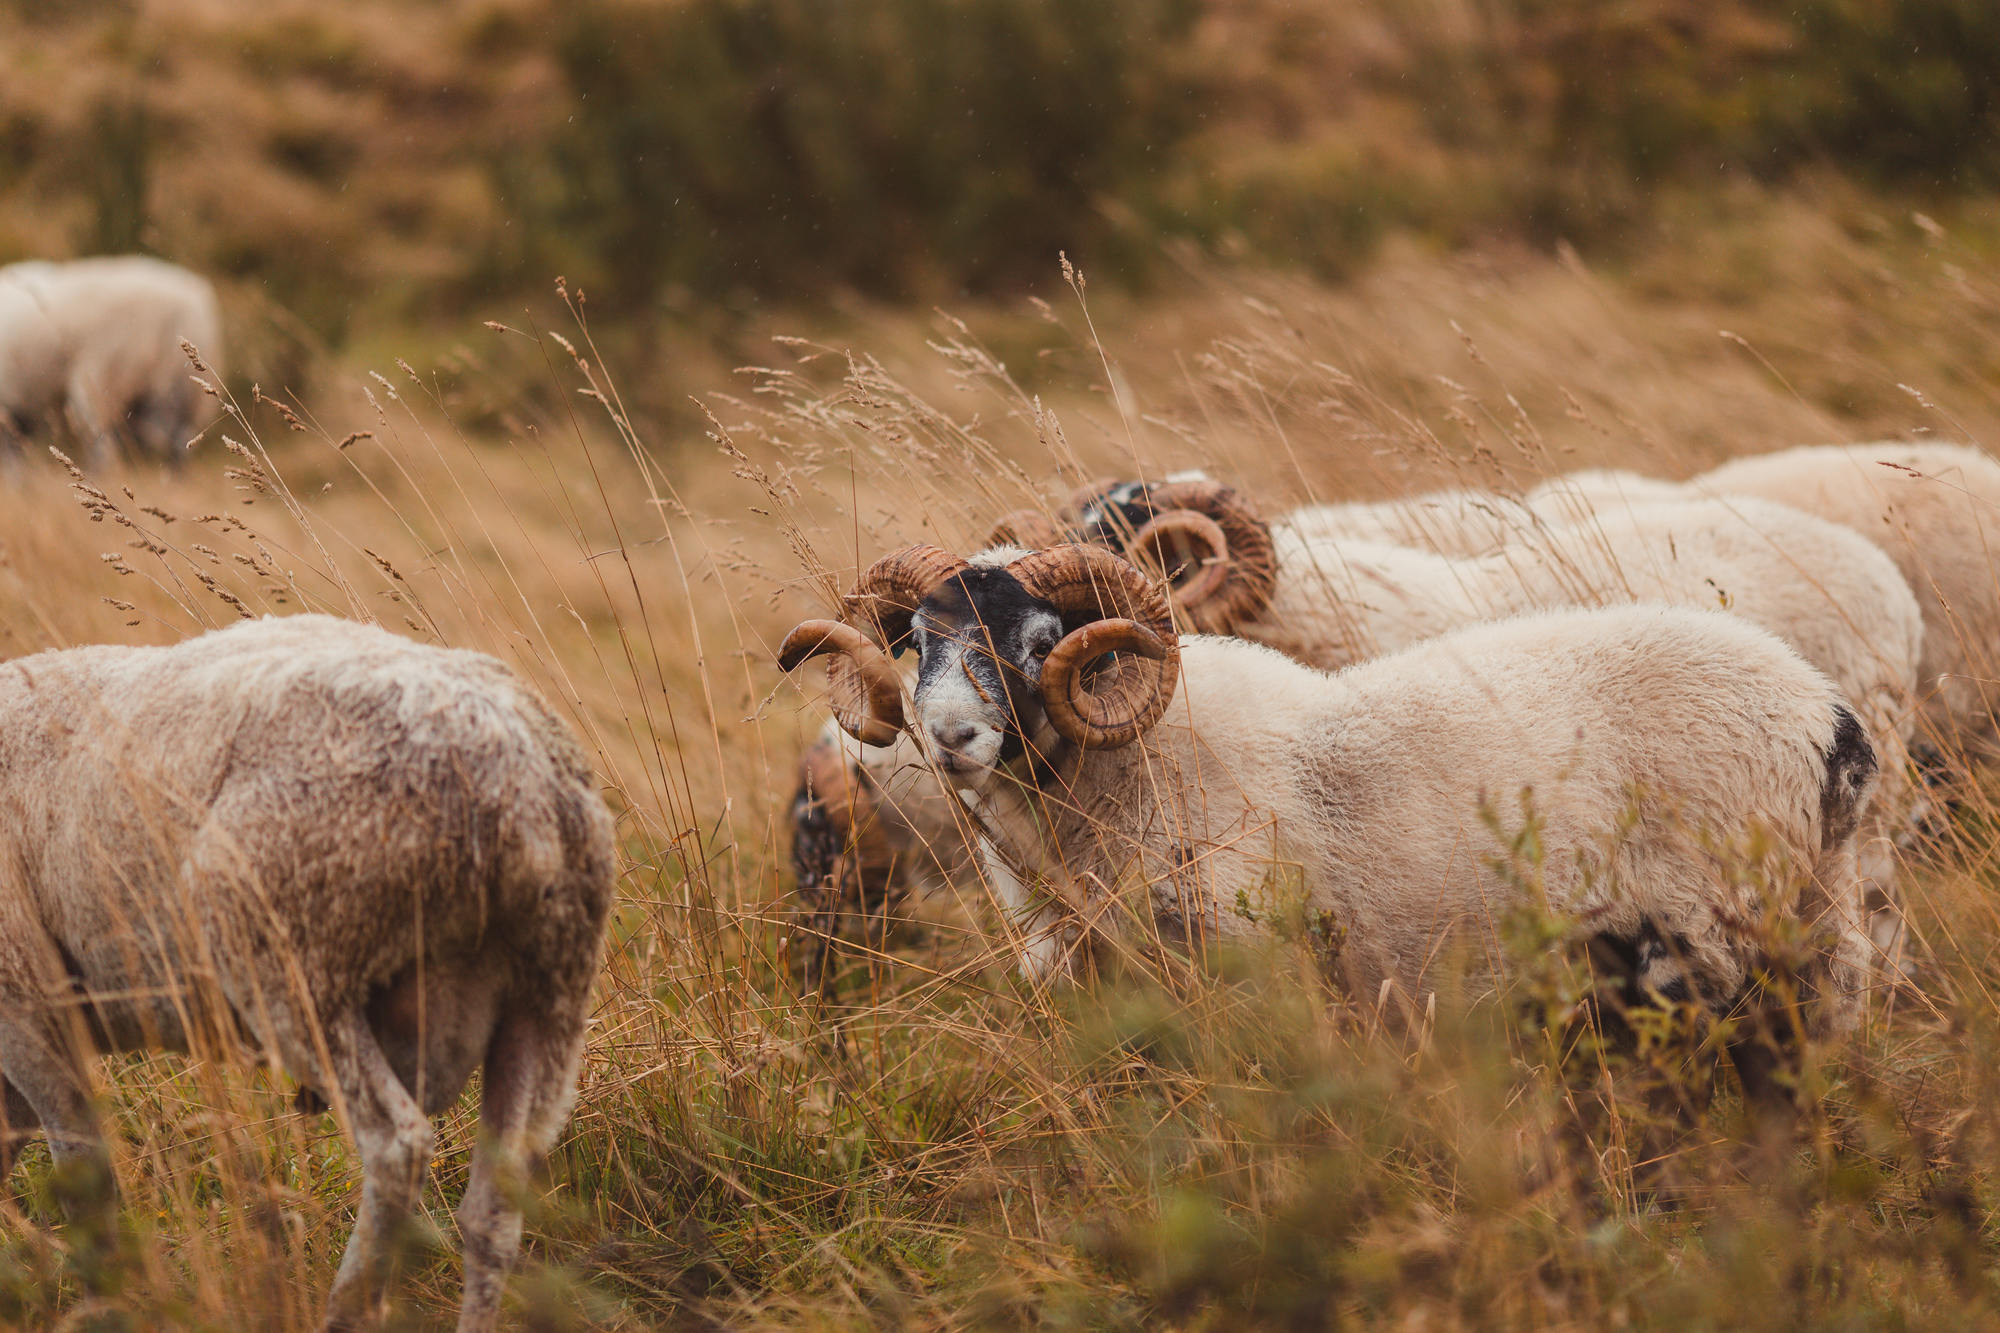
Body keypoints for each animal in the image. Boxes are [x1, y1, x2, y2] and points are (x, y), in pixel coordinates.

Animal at [0, 612, 616, 1328]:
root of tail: (523, 792)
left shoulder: (27, 997)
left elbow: (82, 1171)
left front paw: (105, 1303)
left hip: (291, 956)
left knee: (398, 1144)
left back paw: (346, 1311)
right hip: (547, 998)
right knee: (496, 1203)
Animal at [780, 544, 1872, 1096]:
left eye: (1042, 637)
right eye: (917, 641)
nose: (951, 737)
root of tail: (1829, 720)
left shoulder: (1255, 976)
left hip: (1721, 935)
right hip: (1808, 919)